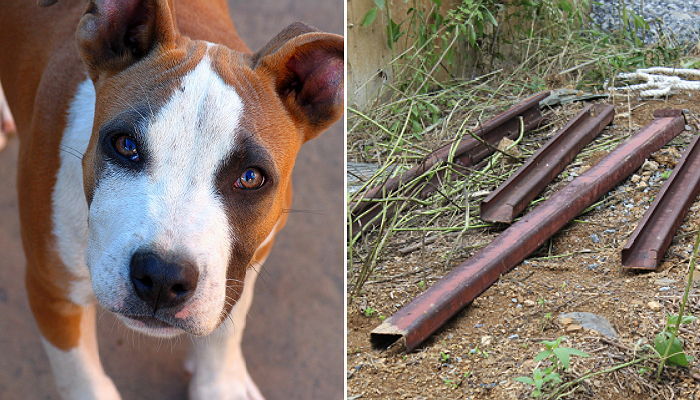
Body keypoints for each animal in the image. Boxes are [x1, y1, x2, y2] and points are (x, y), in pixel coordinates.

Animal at [0, 1, 342, 398]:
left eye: (251, 177)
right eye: (125, 145)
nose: (162, 276)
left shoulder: (249, 258)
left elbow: (227, 324)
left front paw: (219, 384)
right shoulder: (54, 292)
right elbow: (83, 378)